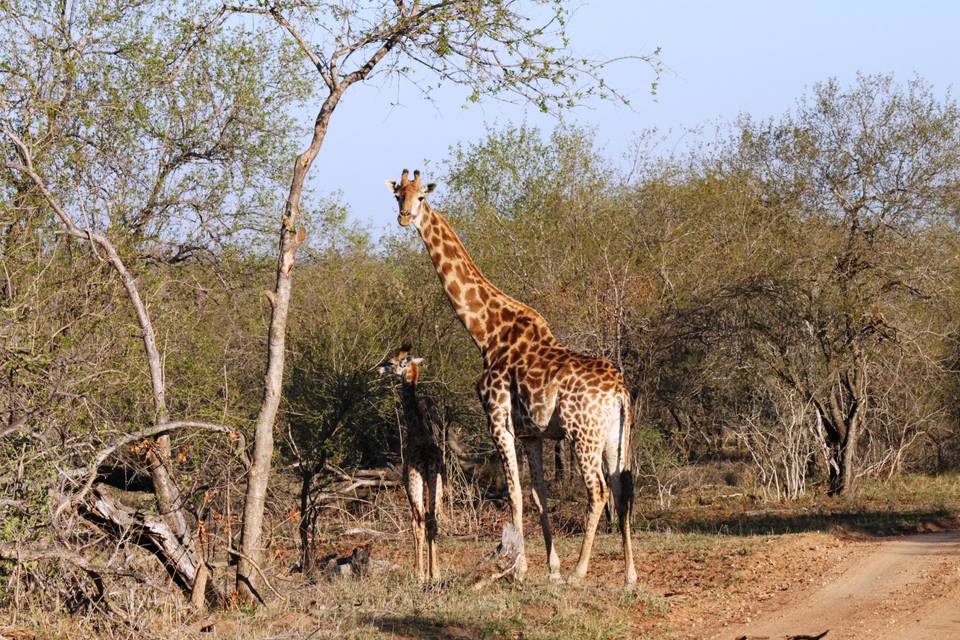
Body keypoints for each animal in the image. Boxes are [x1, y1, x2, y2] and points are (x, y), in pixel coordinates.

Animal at [378, 348, 446, 584]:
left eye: (390, 362)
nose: (379, 369)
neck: (416, 429)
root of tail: (426, 461)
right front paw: (431, 573)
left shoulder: (406, 483)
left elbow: (416, 525)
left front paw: (419, 573)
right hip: (438, 485)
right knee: (433, 520)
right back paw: (435, 573)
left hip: (415, 484)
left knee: (419, 522)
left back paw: (420, 574)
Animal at [386, 169, 632, 584]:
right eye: (398, 195)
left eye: (421, 198)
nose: (404, 218)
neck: (486, 333)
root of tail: (620, 390)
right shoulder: (532, 433)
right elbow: (538, 495)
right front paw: (549, 569)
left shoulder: (497, 417)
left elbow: (515, 493)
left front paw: (519, 567)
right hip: (614, 433)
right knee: (621, 484)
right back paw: (630, 574)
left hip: (583, 433)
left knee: (598, 490)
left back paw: (580, 572)